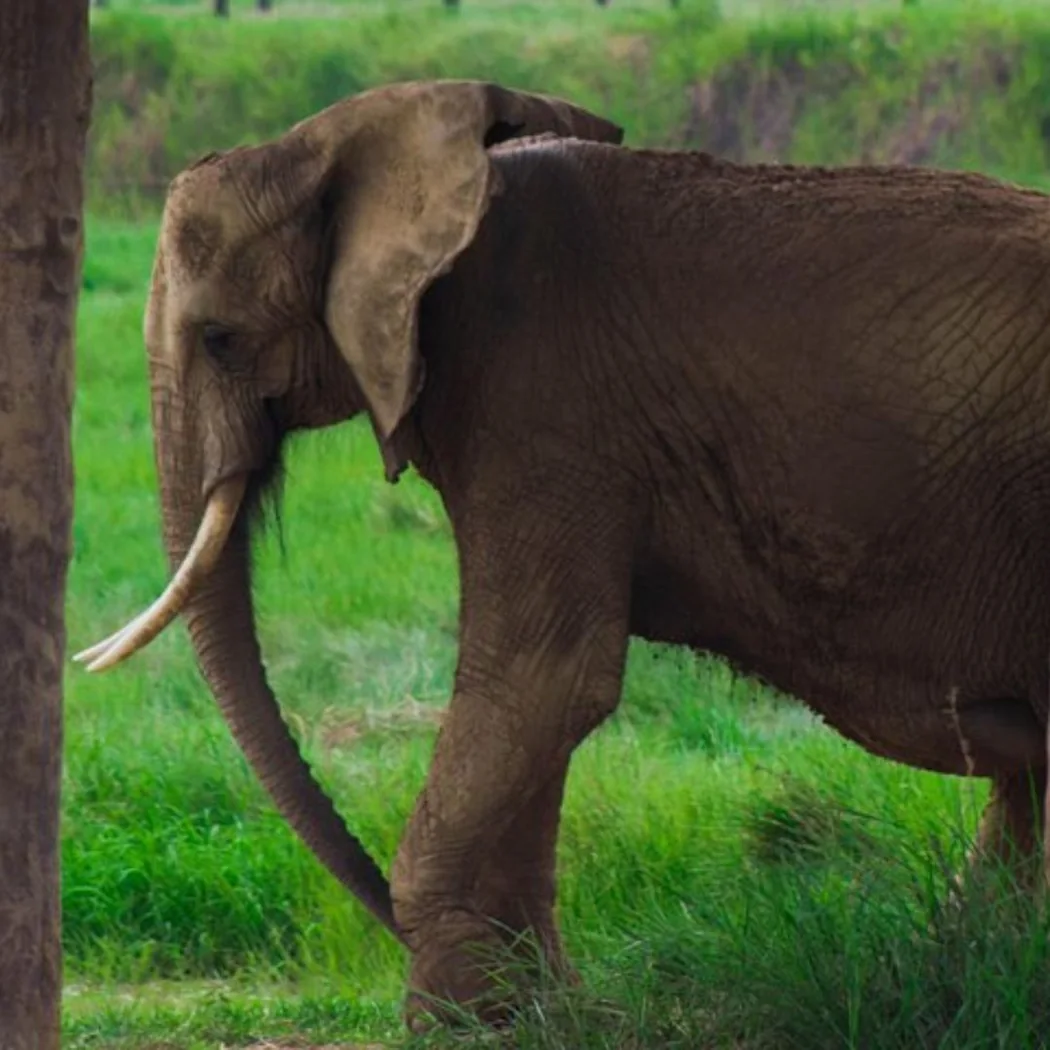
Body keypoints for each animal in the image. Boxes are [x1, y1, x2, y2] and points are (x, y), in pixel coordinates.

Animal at [76, 77, 1050, 1026]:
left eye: (218, 339)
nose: (376, 907)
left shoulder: (536, 387)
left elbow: (542, 681)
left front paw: (461, 1020)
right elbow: (536, 709)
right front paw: (534, 1010)